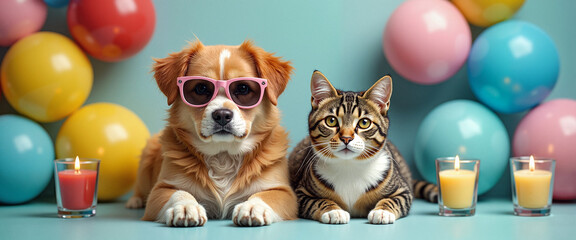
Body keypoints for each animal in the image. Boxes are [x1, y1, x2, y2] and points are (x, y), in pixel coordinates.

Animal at [126, 40, 296, 227]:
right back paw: (135, 200)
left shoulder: (284, 191)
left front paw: (253, 207)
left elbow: (265, 195)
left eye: (243, 88)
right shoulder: (161, 189)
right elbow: (178, 193)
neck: (223, 155)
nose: (222, 115)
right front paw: (186, 206)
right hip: (147, 157)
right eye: (201, 88)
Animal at [288, 70, 436, 224]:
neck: (348, 166)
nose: (346, 138)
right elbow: (317, 201)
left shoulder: (403, 190)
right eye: (331, 121)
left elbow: (394, 200)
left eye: (364, 123)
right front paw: (333, 211)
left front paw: (382, 211)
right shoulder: (300, 193)